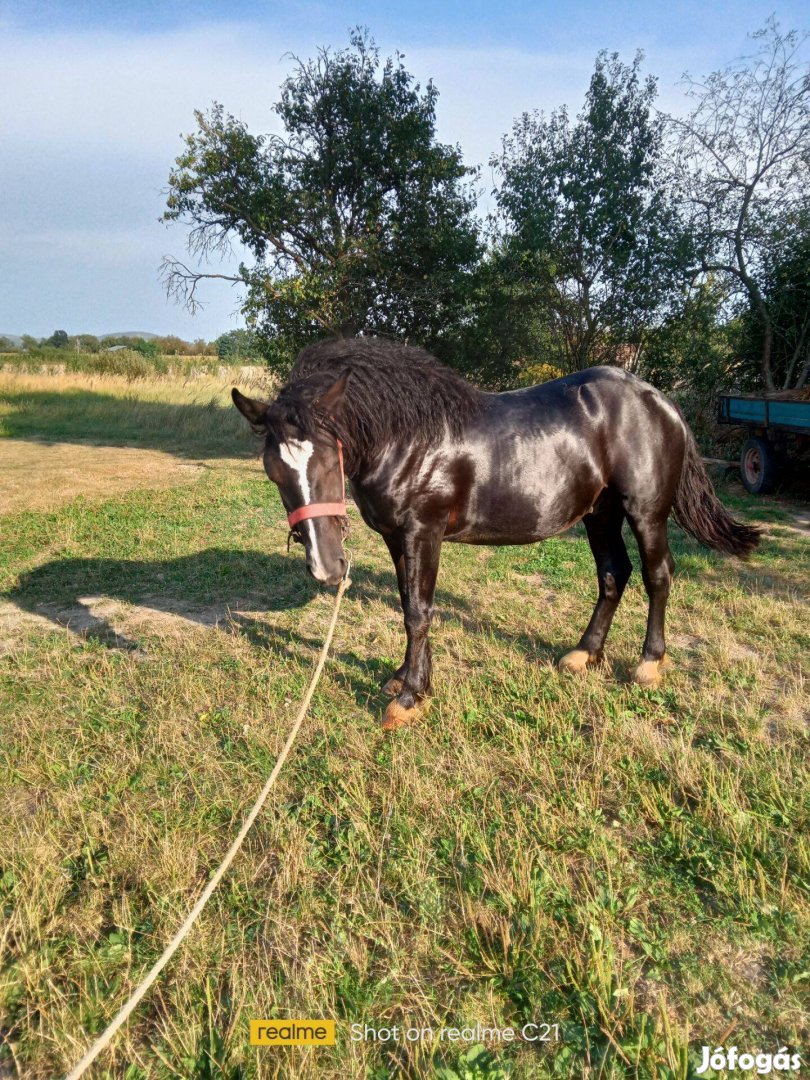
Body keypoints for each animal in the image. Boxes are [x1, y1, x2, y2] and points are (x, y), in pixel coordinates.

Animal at [233, 334, 760, 734]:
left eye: (327, 459)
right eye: (274, 471)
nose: (326, 568)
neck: (407, 436)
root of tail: (659, 400)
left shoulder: (422, 533)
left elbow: (418, 612)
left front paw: (409, 699)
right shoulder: (397, 538)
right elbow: (408, 606)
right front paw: (405, 678)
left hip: (646, 512)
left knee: (657, 576)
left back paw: (649, 664)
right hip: (599, 513)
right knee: (614, 574)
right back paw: (584, 654)